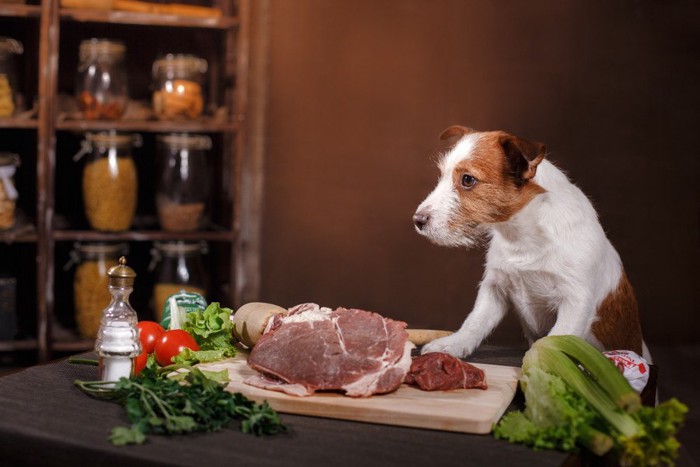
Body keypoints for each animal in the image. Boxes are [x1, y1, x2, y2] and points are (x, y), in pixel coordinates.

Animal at [412, 127, 648, 362]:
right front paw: (453, 343)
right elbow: (475, 321)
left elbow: (556, 338)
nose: (417, 220)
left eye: (468, 180)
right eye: (442, 176)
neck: (522, 238)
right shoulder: (494, 288)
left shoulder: (576, 301)